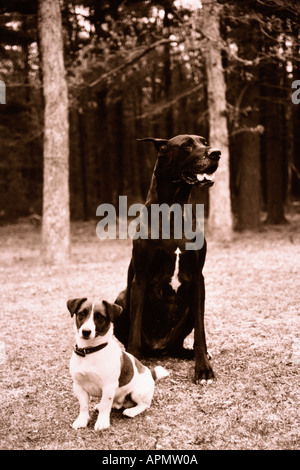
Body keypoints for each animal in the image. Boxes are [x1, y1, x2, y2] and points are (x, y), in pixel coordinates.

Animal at [67, 298, 169, 430]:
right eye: (82, 314)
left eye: (99, 316)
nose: (86, 332)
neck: (90, 351)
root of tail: (150, 373)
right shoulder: (79, 385)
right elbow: (84, 406)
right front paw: (82, 420)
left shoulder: (108, 386)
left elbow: (106, 405)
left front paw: (102, 422)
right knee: (116, 404)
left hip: (137, 393)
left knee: (144, 405)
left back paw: (131, 411)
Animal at [113, 134, 220, 384]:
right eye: (187, 145)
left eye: (204, 142)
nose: (216, 153)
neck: (173, 209)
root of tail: (158, 347)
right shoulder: (140, 277)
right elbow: (134, 329)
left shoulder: (198, 279)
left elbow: (201, 333)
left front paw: (203, 369)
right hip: (121, 300)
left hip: (190, 310)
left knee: (178, 346)